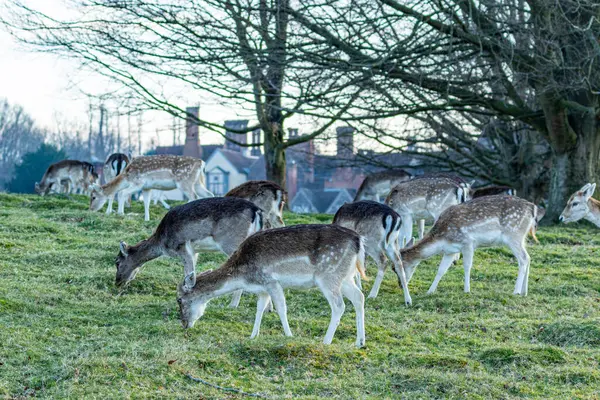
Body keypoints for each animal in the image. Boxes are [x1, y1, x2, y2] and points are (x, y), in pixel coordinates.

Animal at [117, 195, 268, 308]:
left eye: (117, 262)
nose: (117, 282)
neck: (162, 241)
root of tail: (256, 210)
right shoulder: (195, 252)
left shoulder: (182, 247)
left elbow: (188, 272)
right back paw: (268, 308)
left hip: (231, 242)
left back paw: (232, 305)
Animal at [176, 225, 368, 346]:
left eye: (179, 299)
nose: (184, 324)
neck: (242, 276)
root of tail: (358, 240)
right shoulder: (262, 288)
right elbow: (259, 309)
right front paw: (253, 336)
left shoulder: (271, 281)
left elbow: (281, 308)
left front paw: (289, 336)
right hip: (345, 277)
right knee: (359, 297)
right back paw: (360, 342)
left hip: (328, 275)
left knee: (339, 305)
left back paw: (326, 341)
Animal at [398, 195, 544, 296]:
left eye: (397, 267)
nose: (400, 285)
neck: (441, 238)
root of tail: (533, 209)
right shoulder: (450, 251)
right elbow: (441, 270)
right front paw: (430, 291)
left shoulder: (467, 242)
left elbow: (467, 266)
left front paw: (467, 290)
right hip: (521, 237)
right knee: (528, 257)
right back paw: (525, 291)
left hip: (513, 235)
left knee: (523, 258)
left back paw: (516, 291)